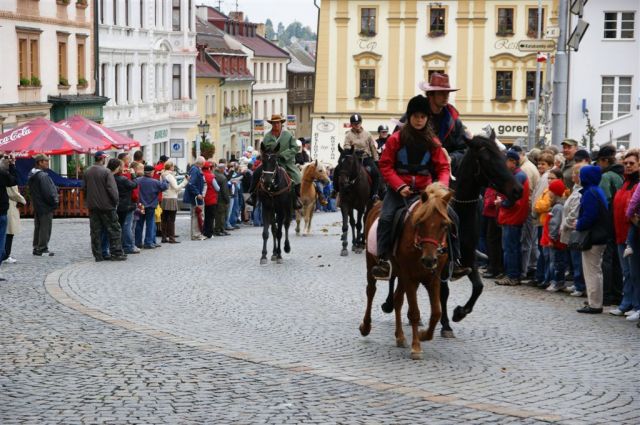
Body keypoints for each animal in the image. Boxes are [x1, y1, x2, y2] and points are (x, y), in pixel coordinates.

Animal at [360, 182, 450, 358]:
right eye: (420, 223)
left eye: (444, 225)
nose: (429, 260)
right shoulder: (410, 277)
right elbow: (414, 312)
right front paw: (416, 346)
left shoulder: (432, 278)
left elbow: (436, 312)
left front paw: (423, 335)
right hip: (371, 264)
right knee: (371, 292)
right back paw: (365, 327)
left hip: (400, 275)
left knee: (397, 299)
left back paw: (400, 336)